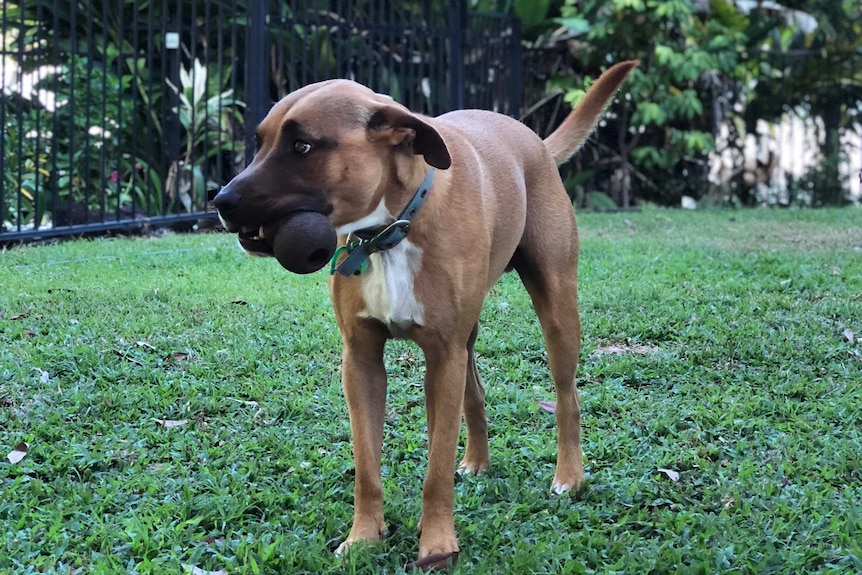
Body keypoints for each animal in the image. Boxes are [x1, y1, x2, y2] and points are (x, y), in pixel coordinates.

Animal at [213, 62, 636, 564]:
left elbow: (436, 468)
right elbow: (368, 467)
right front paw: (364, 536)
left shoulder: (441, 356)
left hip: (555, 308)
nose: (221, 201)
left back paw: (570, 476)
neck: (389, 230)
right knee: (475, 390)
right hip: (465, 340)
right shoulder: (363, 362)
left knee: (566, 394)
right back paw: (476, 461)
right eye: (260, 141)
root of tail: (532, 137)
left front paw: (437, 543)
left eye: (302, 147)